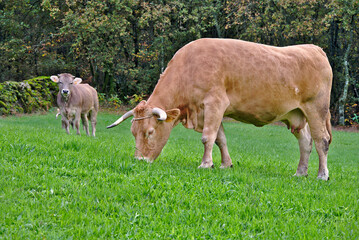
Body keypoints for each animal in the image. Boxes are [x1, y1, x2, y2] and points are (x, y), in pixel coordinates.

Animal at [108, 37, 334, 180]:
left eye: (150, 132)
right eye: (133, 132)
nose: (139, 160)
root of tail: (315, 49)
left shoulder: (215, 103)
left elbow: (208, 137)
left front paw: (205, 164)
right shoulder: (208, 111)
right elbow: (220, 138)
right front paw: (226, 164)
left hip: (316, 109)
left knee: (321, 140)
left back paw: (322, 175)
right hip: (295, 114)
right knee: (305, 142)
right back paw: (300, 172)